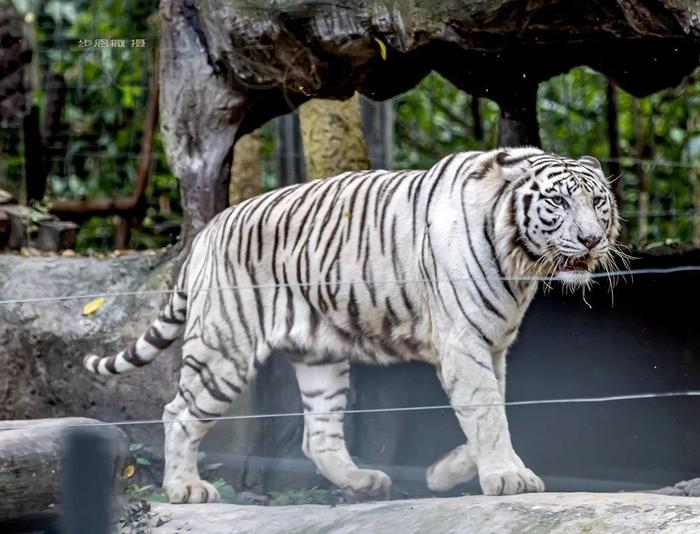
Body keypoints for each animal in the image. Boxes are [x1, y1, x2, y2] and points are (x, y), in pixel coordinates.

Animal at [85, 148, 620, 506]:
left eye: (598, 203)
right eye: (558, 203)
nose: (591, 239)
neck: (520, 261)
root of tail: (208, 231)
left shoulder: (493, 345)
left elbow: (492, 412)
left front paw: (443, 474)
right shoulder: (465, 342)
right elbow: (488, 414)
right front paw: (509, 478)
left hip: (320, 356)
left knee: (317, 436)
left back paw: (364, 482)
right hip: (224, 349)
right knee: (177, 413)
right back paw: (185, 488)